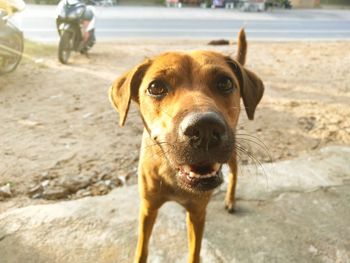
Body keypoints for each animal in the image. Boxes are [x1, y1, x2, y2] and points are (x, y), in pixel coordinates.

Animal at [108, 29, 264, 263]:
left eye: (225, 83)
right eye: (155, 87)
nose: (205, 129)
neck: (174, 175)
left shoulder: (197, 213)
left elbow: (194, 252)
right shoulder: (147, 208)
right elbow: (142, 248)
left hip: (231, 152)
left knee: (235, 173)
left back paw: (230, 200)